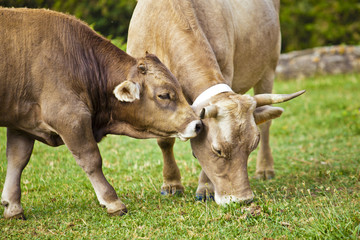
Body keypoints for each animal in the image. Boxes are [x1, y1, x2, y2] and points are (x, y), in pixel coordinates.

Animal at [0, 7, 202, 218]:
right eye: (164, 95)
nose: (197, 124)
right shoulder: (71, 118)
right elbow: (91, 159)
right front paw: (112, 201)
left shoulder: (21, 124)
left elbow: (17, 160)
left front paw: (12, 206)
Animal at [128, 0, 306, 204]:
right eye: (218, 150)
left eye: (252, 146)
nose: (242, 199)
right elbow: (164, 141)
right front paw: (172, 184)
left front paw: (206, 188)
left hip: (268, 69)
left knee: (266, 123)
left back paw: (265, 169)